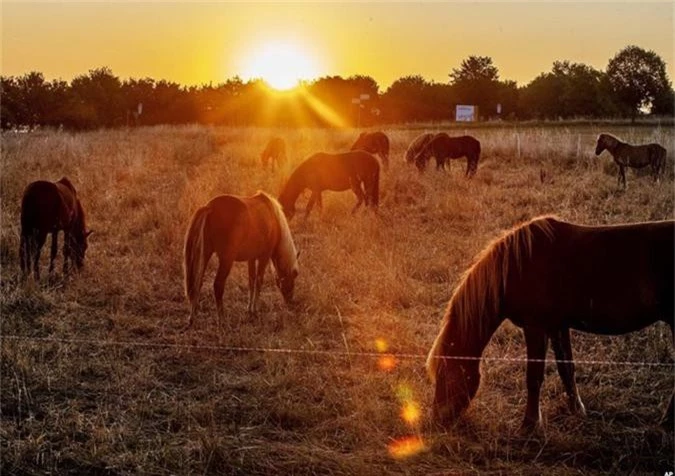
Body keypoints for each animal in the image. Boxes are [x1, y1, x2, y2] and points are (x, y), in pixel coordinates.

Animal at [185, 191, 302, 328]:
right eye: (292, 278)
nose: (290, 302)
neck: (273, 219)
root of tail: (210, 207)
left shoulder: (251, 258)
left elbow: (251, 281)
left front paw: (249, 308)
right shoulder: (264, 257)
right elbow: (258, 282)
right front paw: (255, 310)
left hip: (205, 255)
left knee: (197, 283)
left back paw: (192, 318)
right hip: (226, 260)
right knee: (218, 285)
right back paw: (222, 320)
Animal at [428, 218, 675, 434]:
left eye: (444, 372)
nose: (437, 421)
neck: (517, 266)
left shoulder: (535, 328)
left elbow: (534, 377)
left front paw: (529, 425)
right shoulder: (558, 327)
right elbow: (567, 369)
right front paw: (577, 410)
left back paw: (666, 422)